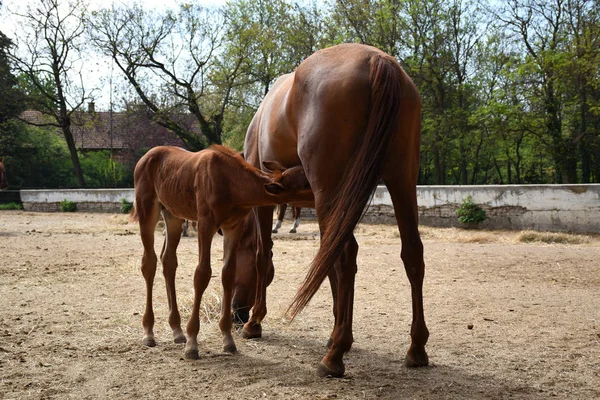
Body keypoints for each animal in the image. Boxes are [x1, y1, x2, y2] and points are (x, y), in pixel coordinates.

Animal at [131, 145, 310, 360]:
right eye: (306, 183)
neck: (230, 181)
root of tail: (145, 158)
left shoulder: (233, 226)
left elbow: (229, 274)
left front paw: (227, 339)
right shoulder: (205, 224)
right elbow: (202, 274)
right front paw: (192, 343)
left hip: (173, 215)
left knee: (168, 261)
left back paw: (177, 330)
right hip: (147, 210)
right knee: (149, 263)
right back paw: (149, 332)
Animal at [239, 44, 426, 378]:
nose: (238, 312)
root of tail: (378, 60)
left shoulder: (268, 201)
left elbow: (264, 255)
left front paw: (255, 321)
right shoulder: (325, 204)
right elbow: (325, 263)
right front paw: (337, 326)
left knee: (346, 255)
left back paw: (335, 355)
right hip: (401, 180)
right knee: (411, 253)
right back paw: (416, 348)